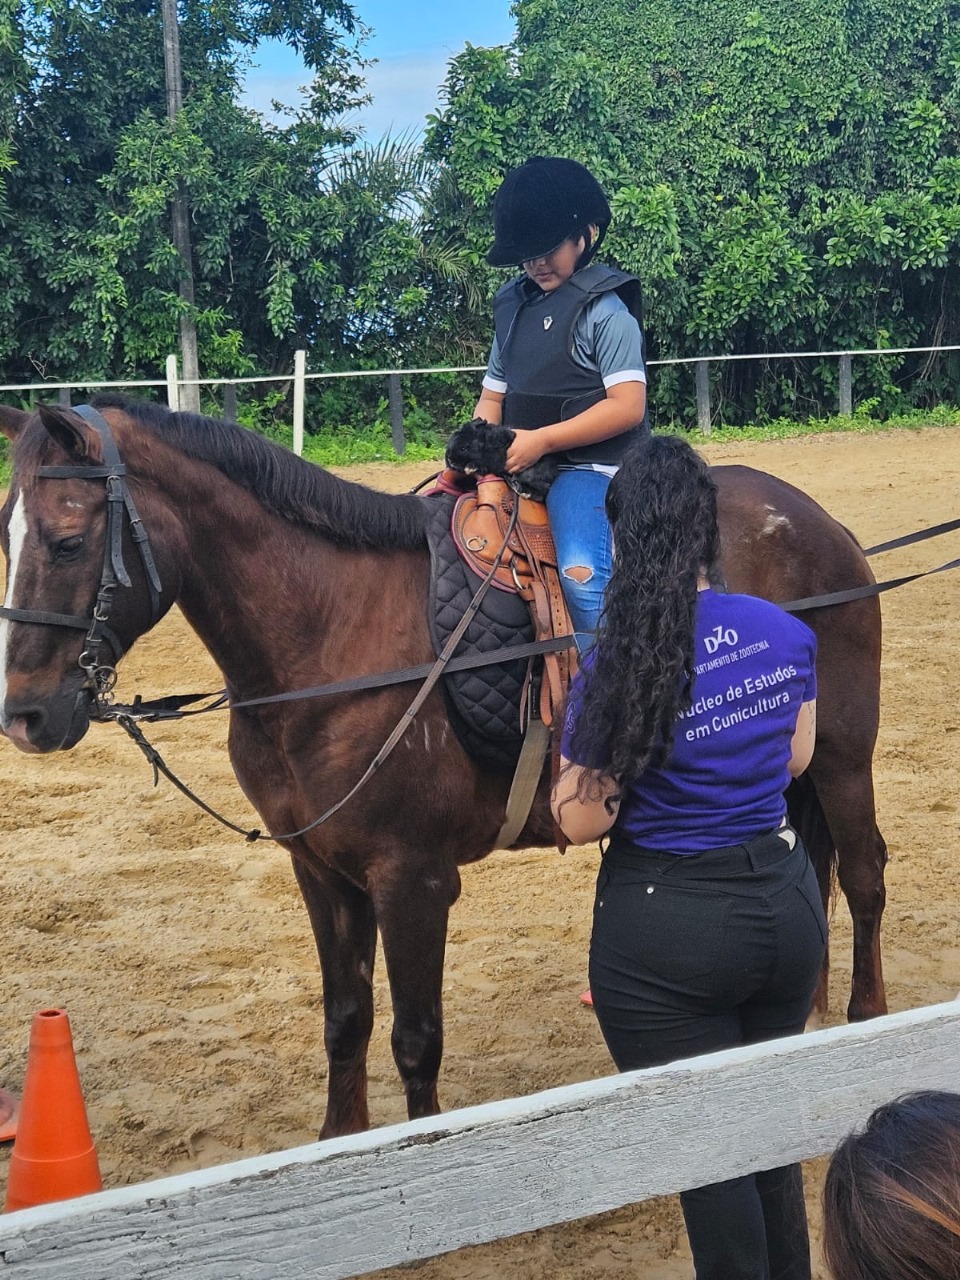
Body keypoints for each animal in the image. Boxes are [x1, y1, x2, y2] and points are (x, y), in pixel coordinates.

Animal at [0, 401, 885, 1141]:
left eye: (68, 542)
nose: (25, 717)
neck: (333, 636)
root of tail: (821, 521)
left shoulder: (413, 878)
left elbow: (415, 1037)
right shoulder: (320, 870)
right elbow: (346, 1019)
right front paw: (340, 1141)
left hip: (843, 757)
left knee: (863, 874)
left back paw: (863, 1013)